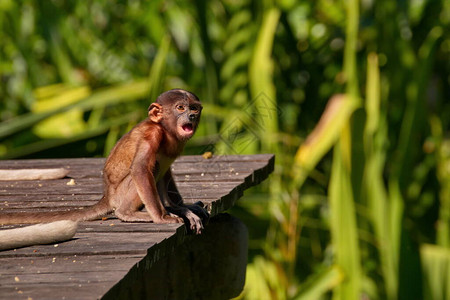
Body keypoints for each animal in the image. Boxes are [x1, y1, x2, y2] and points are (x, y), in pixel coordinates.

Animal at [0, 88, 209, 241]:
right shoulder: (152, 135)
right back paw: (127, 213)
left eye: (194, 108)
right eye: (180, 108)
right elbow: (140, 169)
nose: (191, 116)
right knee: (152, 167)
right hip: (121, 195)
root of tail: (108, 196)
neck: (165, 130)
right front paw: (162, 217)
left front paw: (183, 208)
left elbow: (166, 173)